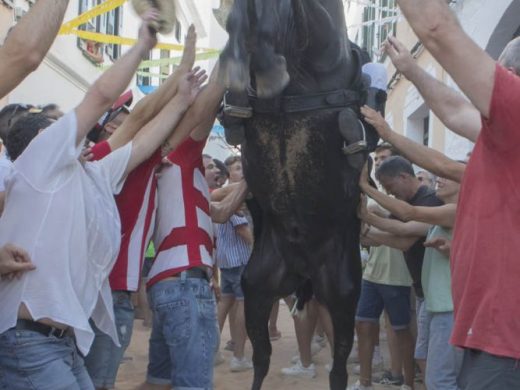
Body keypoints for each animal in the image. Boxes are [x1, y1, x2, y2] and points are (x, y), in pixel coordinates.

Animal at [217, 1, 380, 388]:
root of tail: (303, 269)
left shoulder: (324, 36)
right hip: (257, 288)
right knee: (261, 358)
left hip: (341, 296)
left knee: (338, 369)